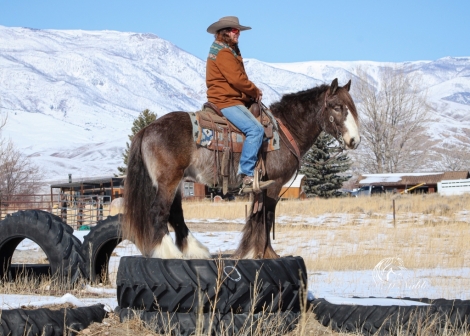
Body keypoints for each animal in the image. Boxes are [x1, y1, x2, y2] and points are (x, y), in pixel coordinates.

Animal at [121, 79, 360, 260]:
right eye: (337, 107)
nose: (354, 140)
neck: (285, 130)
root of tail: (146, 129)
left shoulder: (259, 187)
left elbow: (256, 216)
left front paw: (250, 252)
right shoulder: (273, 185)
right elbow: (267, 216)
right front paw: (266, 254)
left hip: (178, 182)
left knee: (175, 214)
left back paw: (195, 251)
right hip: (168, 180)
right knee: (159, 211)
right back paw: (169, 253)